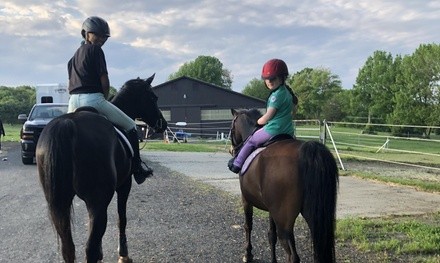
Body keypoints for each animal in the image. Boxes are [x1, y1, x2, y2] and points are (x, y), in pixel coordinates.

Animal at [35, 75, 167, 263]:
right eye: (153, 97)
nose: (163, 124)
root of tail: (67, 125)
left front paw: (102, 252)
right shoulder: (124, 185)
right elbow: (121, 218)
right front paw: (123, 254)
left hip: (59, 204)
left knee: (69, 248)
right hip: (96, 201)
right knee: (89, 247)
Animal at [230, 108, 340, 262]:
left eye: (231, 127)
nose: (232, 149)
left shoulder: (246, 199)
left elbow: (248, 225)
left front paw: (248, 254)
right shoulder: (271, 209)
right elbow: (271, 235)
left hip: (284, 223)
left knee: (292, 256)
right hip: (314, 218)